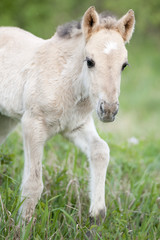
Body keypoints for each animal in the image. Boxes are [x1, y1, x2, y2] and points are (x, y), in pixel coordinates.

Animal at [0, 6, 135, 222]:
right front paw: (23, 225)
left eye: (124, 65)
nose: (108, 110)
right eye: (90, 61)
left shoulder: (76, 126)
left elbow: (101, 150)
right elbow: (33, 183)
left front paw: (96, 215)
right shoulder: (32, 124)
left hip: (5, 120)